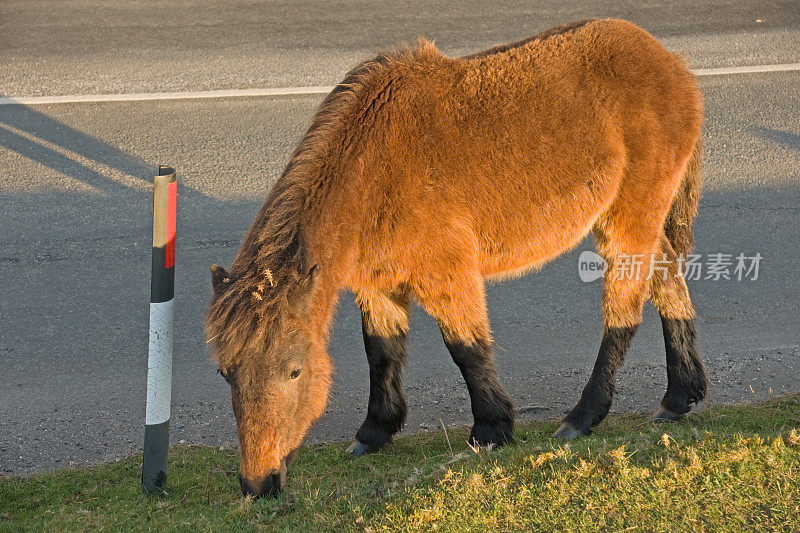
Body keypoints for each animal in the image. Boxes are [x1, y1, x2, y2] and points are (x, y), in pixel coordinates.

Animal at [205, 18, 708, 496]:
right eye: (227, 375)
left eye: (293, 371)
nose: (258, 484)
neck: (374, 167)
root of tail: (673, 64)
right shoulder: (378, 285)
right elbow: (381, 352)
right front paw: (375, 431)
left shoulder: (446, 271)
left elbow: (466, 349)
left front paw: (491, 429)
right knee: (667, 281)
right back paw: (679, 397)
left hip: (629, 219)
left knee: (624, 310)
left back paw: (583, 417)